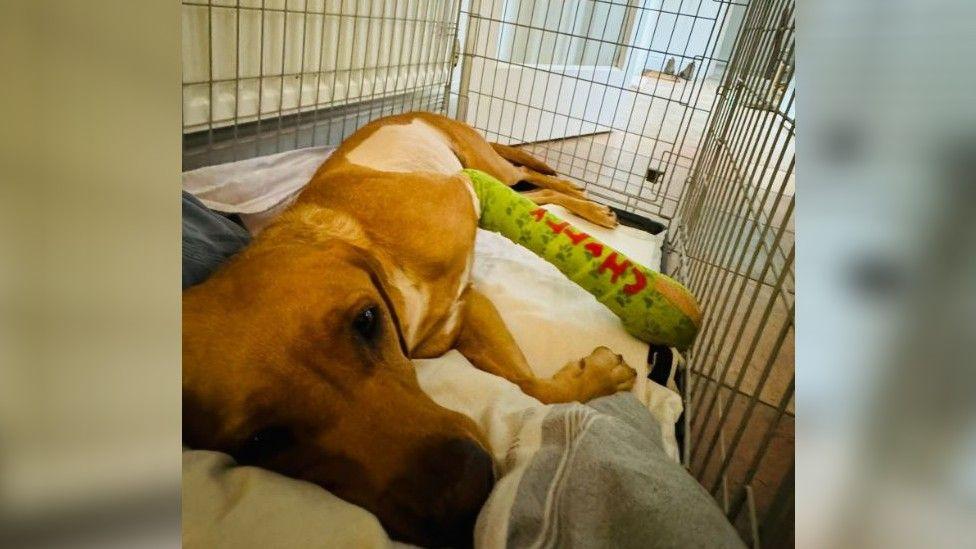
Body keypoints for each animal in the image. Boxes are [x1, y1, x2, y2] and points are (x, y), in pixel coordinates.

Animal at [183, 110, 640, 544]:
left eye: (366, 320)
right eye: (262, 441)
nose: (463, 494)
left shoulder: (463, 208)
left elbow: (531, 384)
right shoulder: (463, 315)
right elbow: (528, 384)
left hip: (486, 164)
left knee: (529, 178)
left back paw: (586, 201)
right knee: (535, 195)